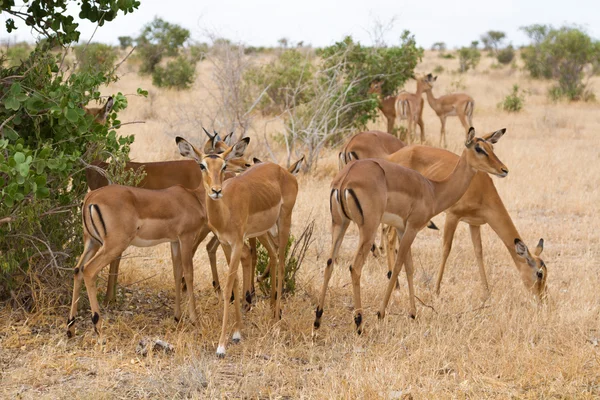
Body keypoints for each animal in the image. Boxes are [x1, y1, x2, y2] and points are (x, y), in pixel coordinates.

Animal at [66, 139, 251, 340]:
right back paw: (98, 327)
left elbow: (177, 273)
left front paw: (177, 316)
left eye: (223, 164)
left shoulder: (174, 241)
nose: (216, 190)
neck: (193, 198)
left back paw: (71, 328)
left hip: (91, 242)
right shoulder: (186, 238)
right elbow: (189, 274)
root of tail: (91, 198)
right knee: (89, 270)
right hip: (113, 245)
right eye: (203, 165)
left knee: (77, 270)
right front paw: (195, 320)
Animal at [178, 137, 300, 356]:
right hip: (263, 231)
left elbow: (227, 289)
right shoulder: (226, 244)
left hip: (284, 221)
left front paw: (221, 346)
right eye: (202, 165)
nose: (216, 191)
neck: (226, 210)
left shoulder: (236, 244)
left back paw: (277, 323)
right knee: (274, 255)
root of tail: (283, 170)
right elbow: (234, 283)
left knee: (282, 263)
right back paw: (273, 313)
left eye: (224, 165)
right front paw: (237, 332)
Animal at [316, 128, 508, 334]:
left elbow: (409, 267)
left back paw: (317, 319)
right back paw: (359, 323)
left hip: (339, 224)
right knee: (355, 267)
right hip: (368, 229)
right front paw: (381, 313)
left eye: (492, 147)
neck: (433, 190)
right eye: (479, 148)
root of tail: (345, 178)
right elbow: (399, 265)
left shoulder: (402, 229)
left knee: (329, 263)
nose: (504, 169)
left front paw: (413, 313)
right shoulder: (413, 228)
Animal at [384, 144, 548, 300]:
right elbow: (446, 249)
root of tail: (391, 157)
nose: (542, 299)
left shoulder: (474, 223)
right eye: (539, 273)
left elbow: (478, 252)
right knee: (390, 237)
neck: (482, 189)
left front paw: (487, 293)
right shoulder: (452, 216)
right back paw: (396, 285)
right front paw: (436, 291)